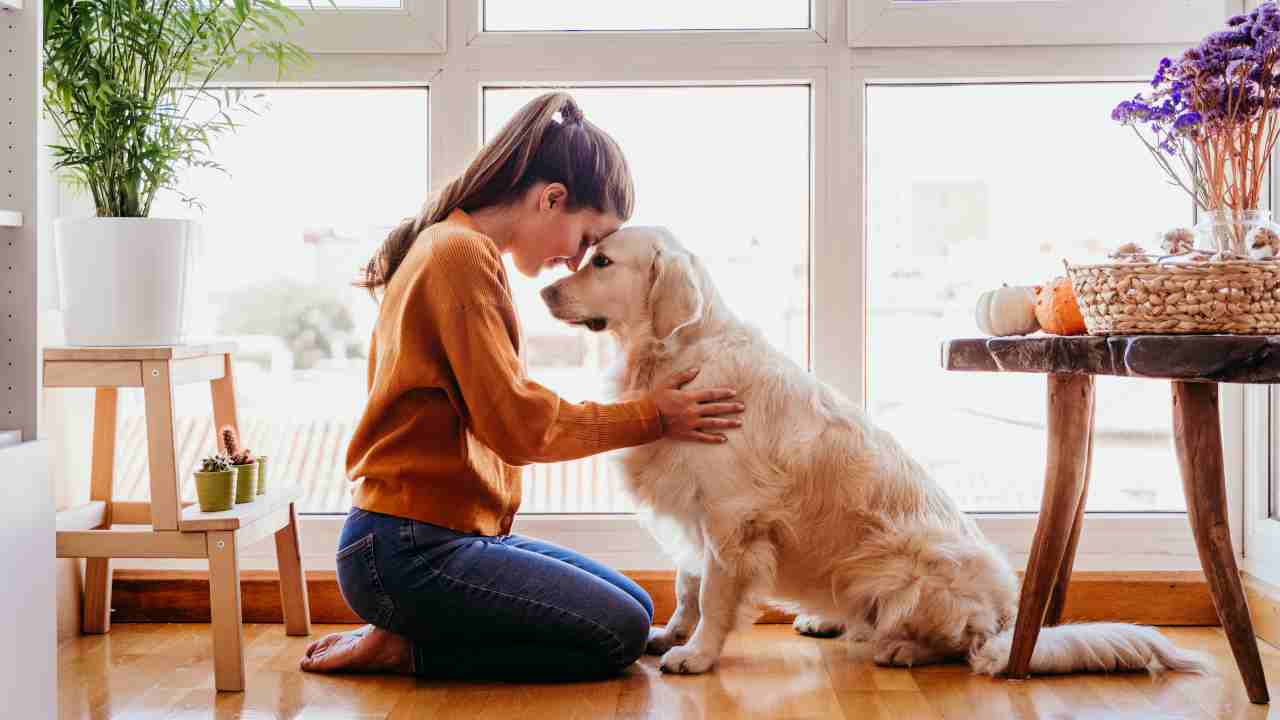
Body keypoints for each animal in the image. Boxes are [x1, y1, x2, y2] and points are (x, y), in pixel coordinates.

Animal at [540, 226, 1208, 676]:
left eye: (601, 261)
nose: (544, 292)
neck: (677, 353)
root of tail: (1006, 619)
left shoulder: (731, 517)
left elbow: (713, 593)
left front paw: (697, 654)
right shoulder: (693, 507)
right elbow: (685, 583)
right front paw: (670, 635)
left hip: (909, 565)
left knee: (958, 645)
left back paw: (900, 647)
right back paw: (826, 619)